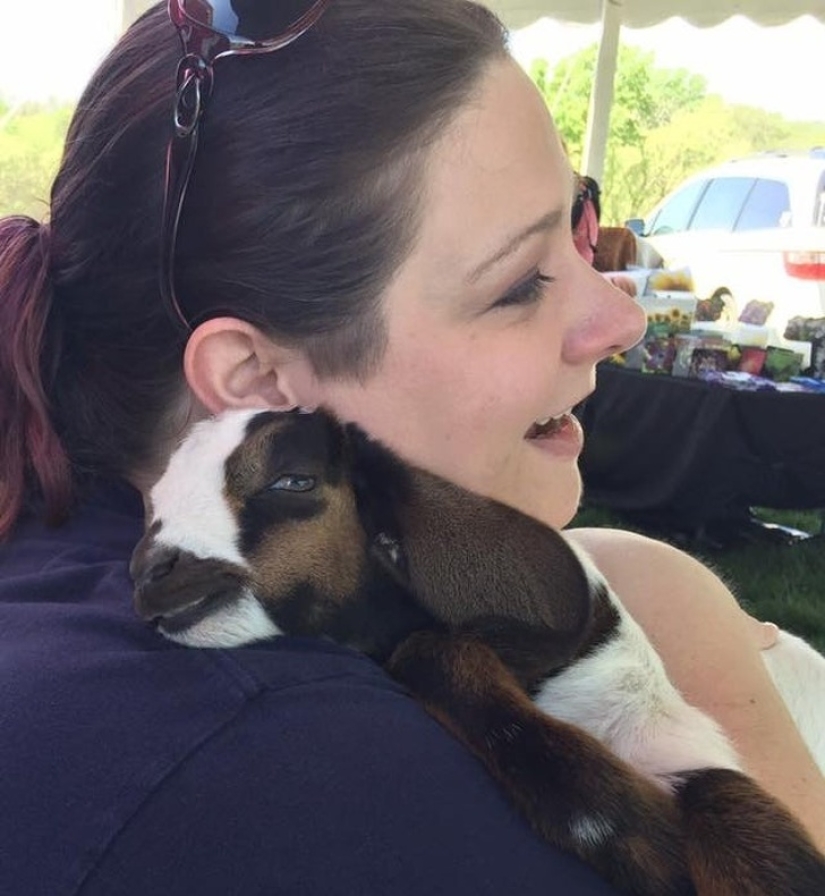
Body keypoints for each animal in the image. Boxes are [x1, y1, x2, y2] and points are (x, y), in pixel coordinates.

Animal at [131, 408, 825, 896]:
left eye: (292, 481)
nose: (150, 573)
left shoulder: (673, 736)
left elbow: (728, 801)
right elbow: (433, 653)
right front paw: (626, 829)